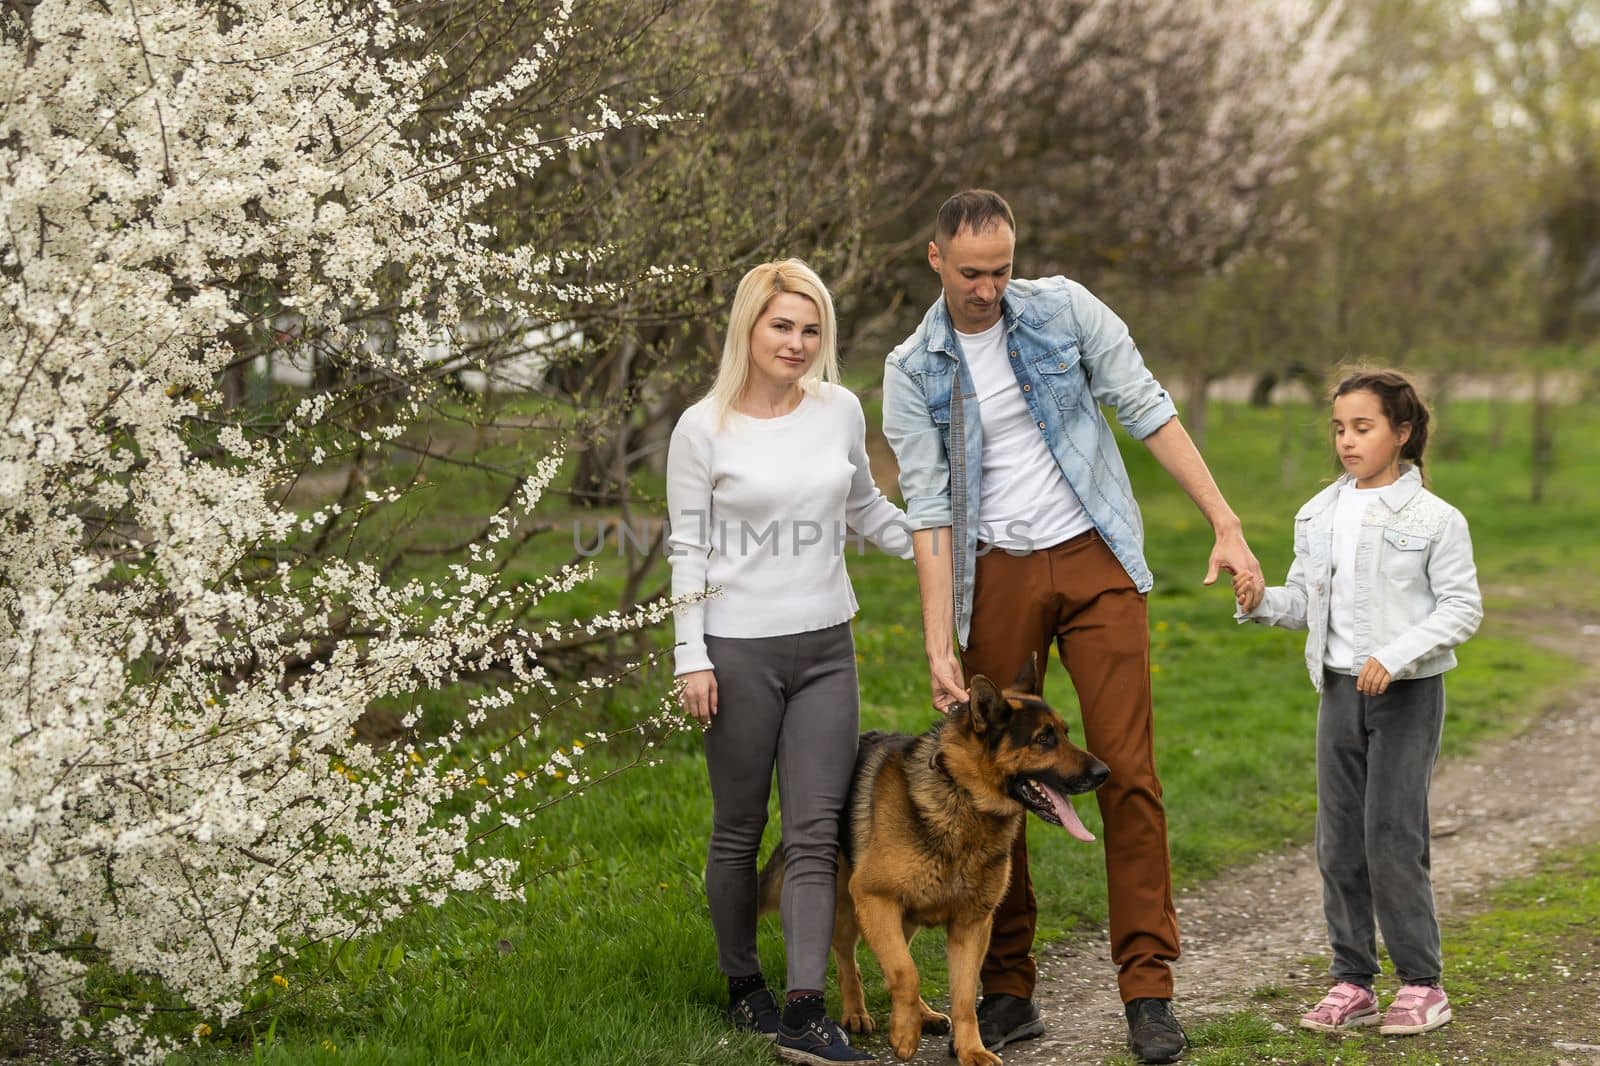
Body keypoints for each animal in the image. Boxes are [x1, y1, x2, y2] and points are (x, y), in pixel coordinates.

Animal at [755, 656, 1107, 1062]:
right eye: (1044, 739)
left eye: (1065, 733)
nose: (1104, 773)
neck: (962, 795)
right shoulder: (874, 897)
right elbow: (905, 973)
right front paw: (904, 1033)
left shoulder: (973, 925)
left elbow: (963, 995)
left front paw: (970, 1048)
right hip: (846, 903)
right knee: (848, 956)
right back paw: (857, 1011)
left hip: (904, 916)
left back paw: (924, 1013)